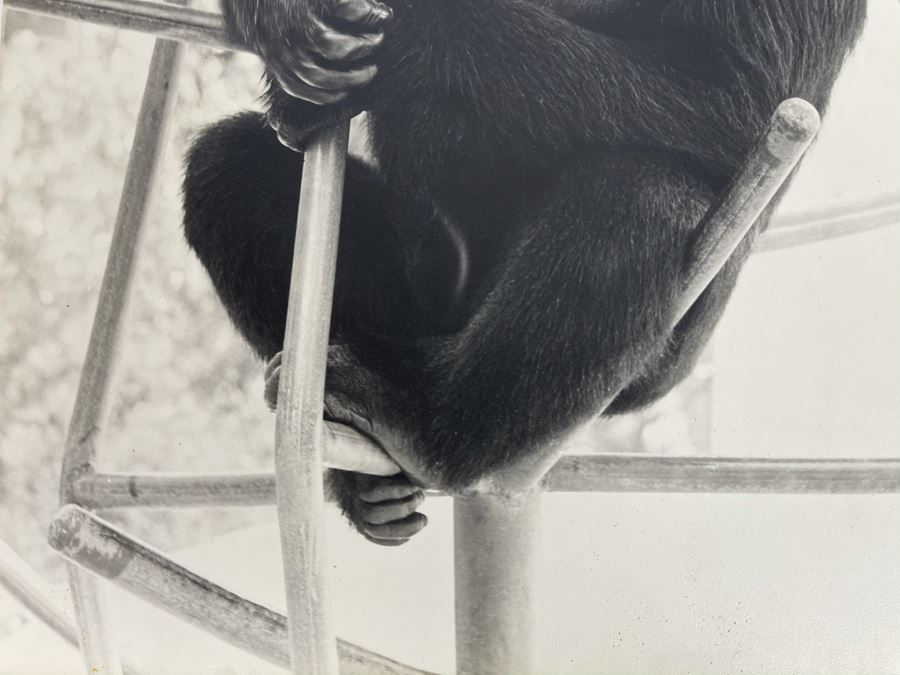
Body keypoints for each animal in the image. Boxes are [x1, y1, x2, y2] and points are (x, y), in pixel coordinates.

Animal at [183, 0, 866, 544]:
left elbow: (733, 92)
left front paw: (384, 23)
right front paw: (281, 26)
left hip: (658, 366)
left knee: (638, 195)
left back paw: (422, 426)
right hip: (417, 304)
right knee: (229, 165)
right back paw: (368, 484)